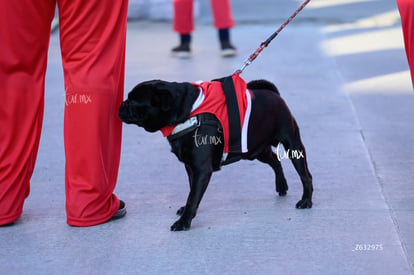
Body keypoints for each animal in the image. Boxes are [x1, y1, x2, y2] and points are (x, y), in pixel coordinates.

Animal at [118, 74, 312, 232]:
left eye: (133, 102)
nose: (122, 104)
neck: (186, 112)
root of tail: (274, 94)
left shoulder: (201, 169)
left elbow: (192, 196)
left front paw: (184, 222)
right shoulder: (191, 167)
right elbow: (192, 191)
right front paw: (189, 213)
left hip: (292, 145)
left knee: (305, 175)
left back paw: (306, 201)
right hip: (255, 151)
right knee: (275, 161)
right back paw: (281, 185)